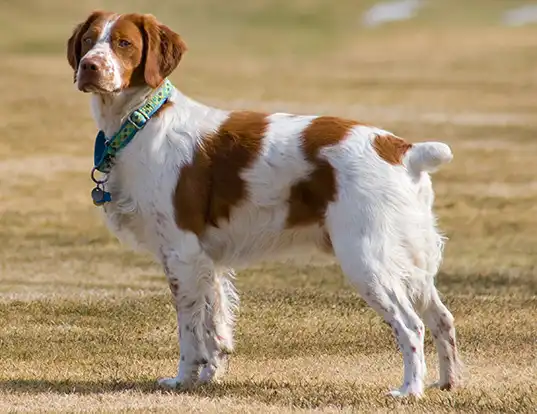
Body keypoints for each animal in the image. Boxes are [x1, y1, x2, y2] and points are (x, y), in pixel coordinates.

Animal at [67, 10, 460, 398]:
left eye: (124, 43)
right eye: (88, 40)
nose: (89, 66)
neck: (143, 121)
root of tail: (403, 150)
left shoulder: (182, 253)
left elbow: (190, 331)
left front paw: (182, 380)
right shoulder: (207, 261)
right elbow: (215, 325)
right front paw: (208, 377)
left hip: (367, 259)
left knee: (411, 325)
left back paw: (410, 389)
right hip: (410, 260)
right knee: (442, 318)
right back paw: (447, 382)